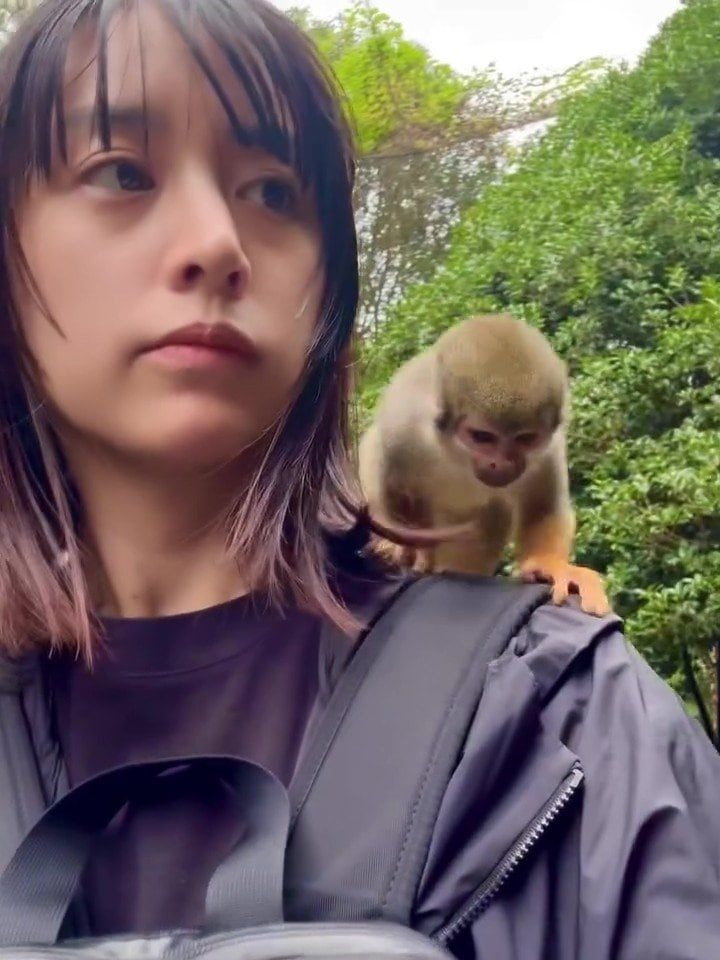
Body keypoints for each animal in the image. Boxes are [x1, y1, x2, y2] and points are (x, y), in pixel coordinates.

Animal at [358, 314, 610, 617]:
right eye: (482, 437)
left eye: (525, 438)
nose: (499, 463)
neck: (456, 454)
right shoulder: (405, 423)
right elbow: (390, 479)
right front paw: (407, 547)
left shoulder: (548, 448)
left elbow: (543, 506)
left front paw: (551, 565)